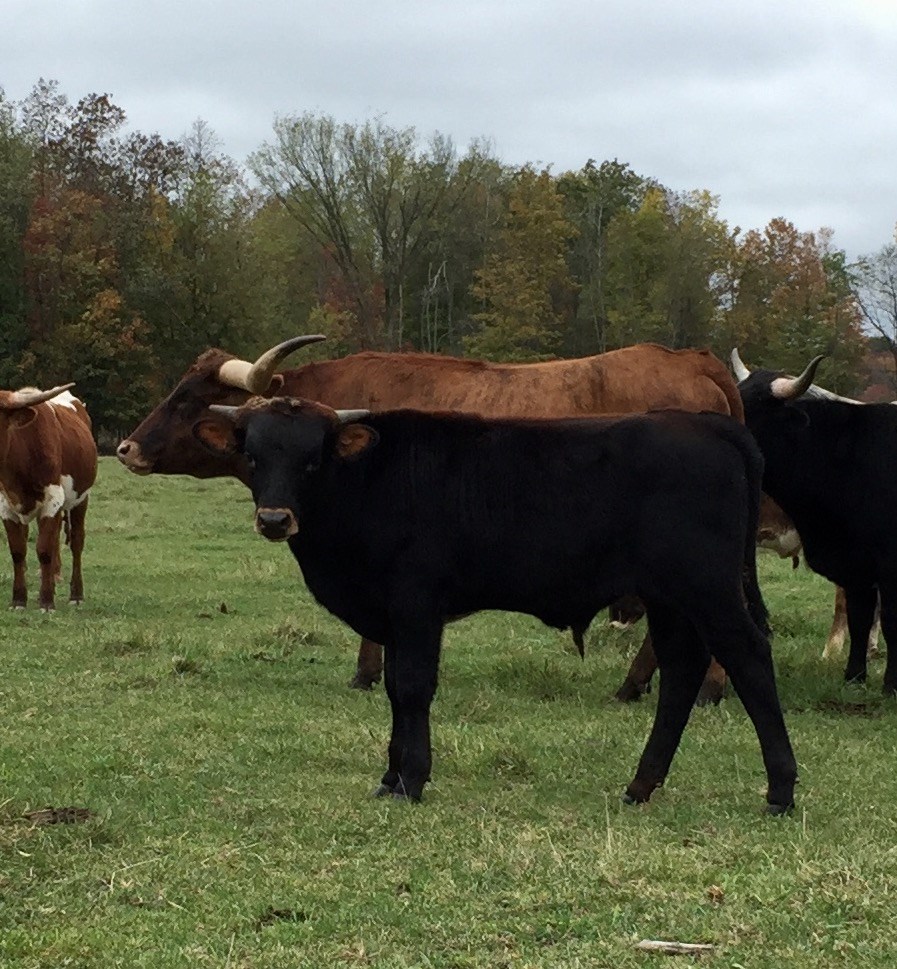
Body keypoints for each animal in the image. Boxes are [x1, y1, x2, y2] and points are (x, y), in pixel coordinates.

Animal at [0, 383, 97, 611]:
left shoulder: (53, 501)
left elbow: (44, 550)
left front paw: (46, 602)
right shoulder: (6, 506)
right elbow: (18, 552)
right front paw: (19, 600)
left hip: (81, 499)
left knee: (76, 541)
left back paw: (76, 595)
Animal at [189, 397, 797, 813]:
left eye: (312, 460)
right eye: (253, 455)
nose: (274, 519)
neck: (370, 479)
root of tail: (705, 422)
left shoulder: (416, 603)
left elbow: (414, 688)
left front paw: (412, 779)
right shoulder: (392, 616)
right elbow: (393, 690)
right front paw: (389, 777)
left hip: (709, 588)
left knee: (748, 658)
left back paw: (780, 791)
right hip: (669, 597)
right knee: (680, 671)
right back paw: (640, 785)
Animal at [734, 350, 897, 692]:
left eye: (752, 408)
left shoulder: (889, 564)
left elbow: (890, 621)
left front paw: (891, 684)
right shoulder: (855, 565)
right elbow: (859, 617)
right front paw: (854, 677)